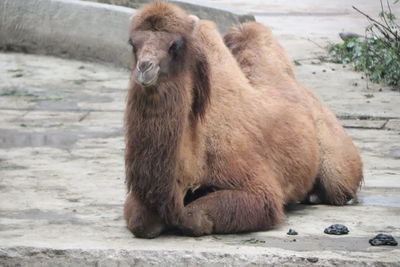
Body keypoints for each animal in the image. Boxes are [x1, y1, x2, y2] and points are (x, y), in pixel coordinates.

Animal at [124, 3, 362, 239]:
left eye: (175, 45)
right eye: (132, 43)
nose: (145, 67)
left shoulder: (257, 186)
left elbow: (194, 216)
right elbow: (140, 222)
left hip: (336, 163)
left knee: (337, 187)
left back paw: (314, 195)